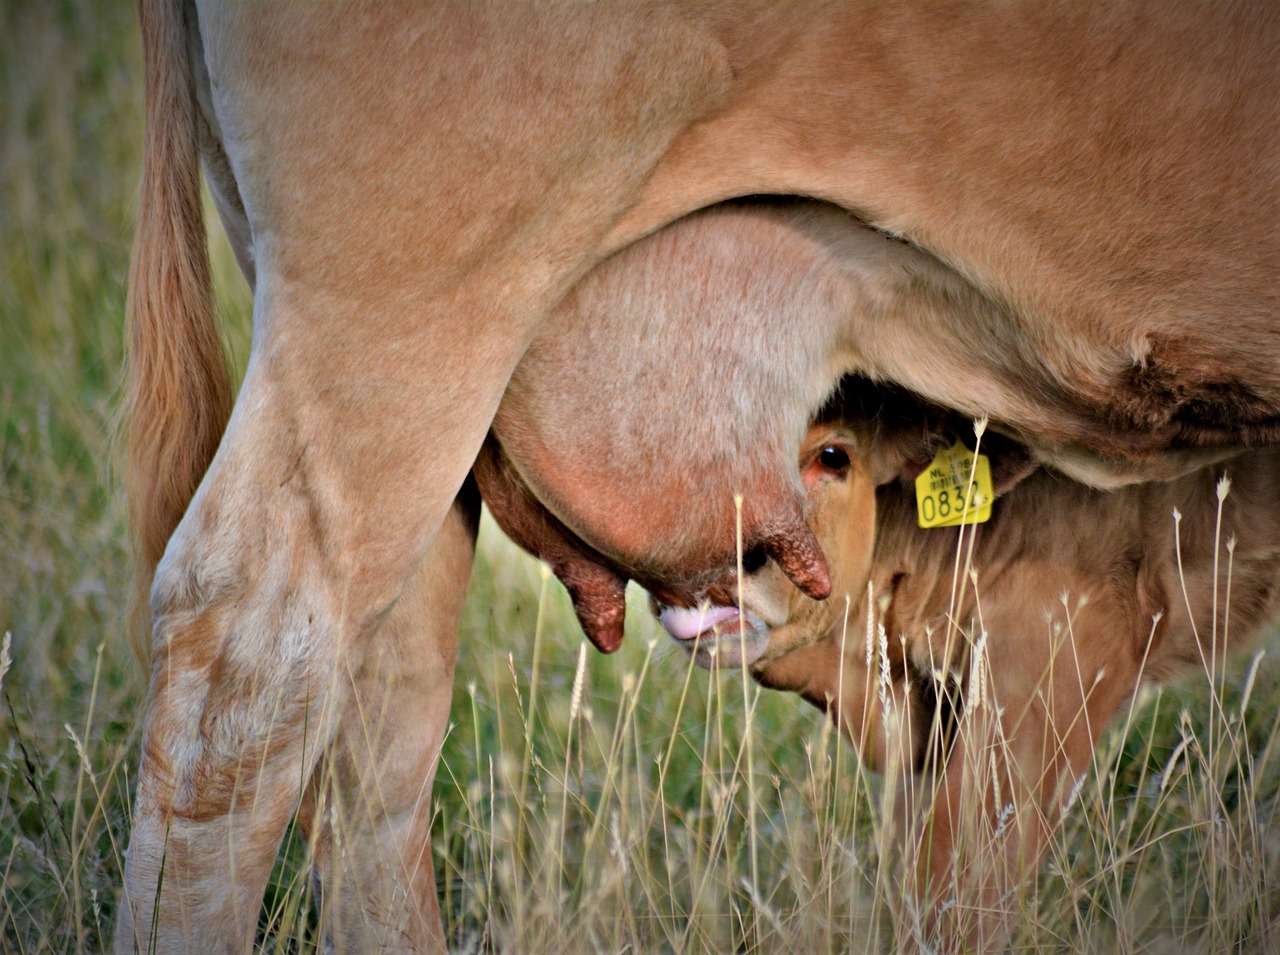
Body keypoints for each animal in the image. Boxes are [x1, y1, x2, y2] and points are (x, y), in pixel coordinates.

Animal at [122, 3, 1280, 947]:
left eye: (836, 454)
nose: (739, 564)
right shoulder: (1049, 657)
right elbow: (965, 891)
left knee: (380, 730)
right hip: (398, 324)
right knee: (244, 665)